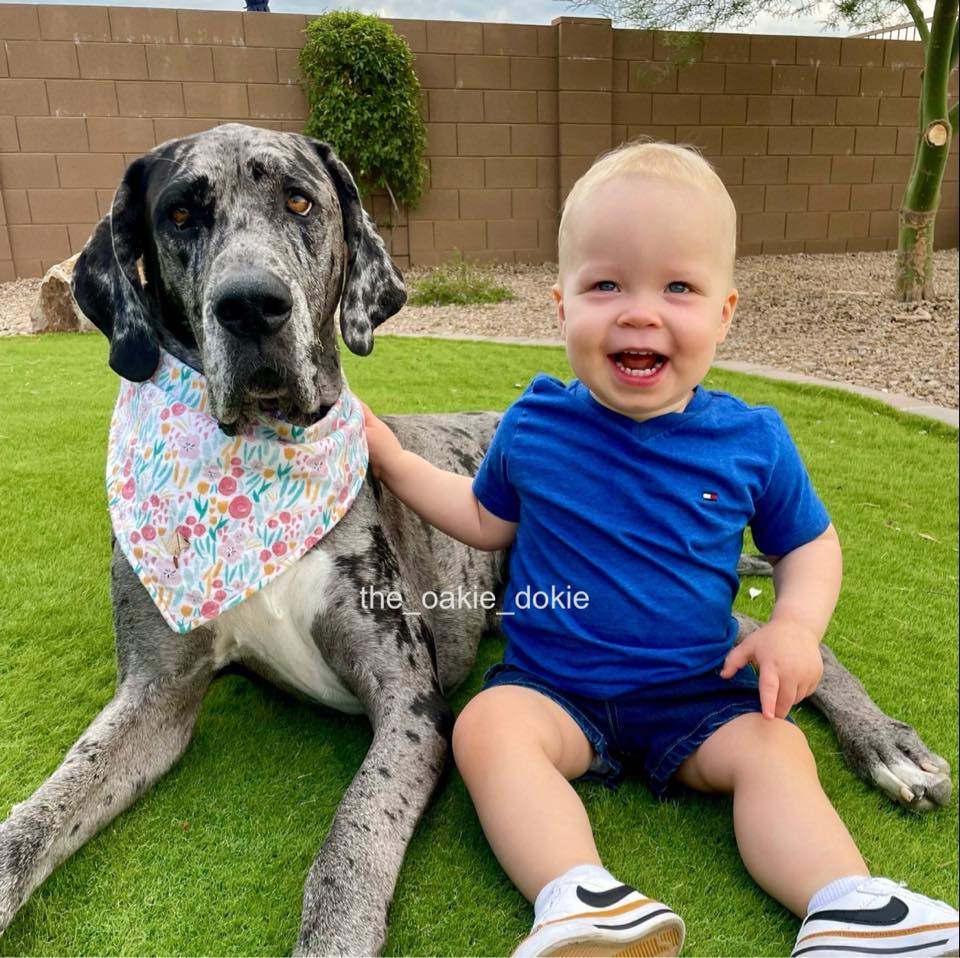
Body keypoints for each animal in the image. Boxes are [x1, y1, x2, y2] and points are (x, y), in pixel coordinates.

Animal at [0, 124, 948, 956]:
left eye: (301, 202)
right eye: (181, 214)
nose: (251, 307)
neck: (256, 461)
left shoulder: (410, 705)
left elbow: (352, 838)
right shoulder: (153, 697)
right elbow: (38, 814)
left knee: (768, 637)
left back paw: (885, 748)